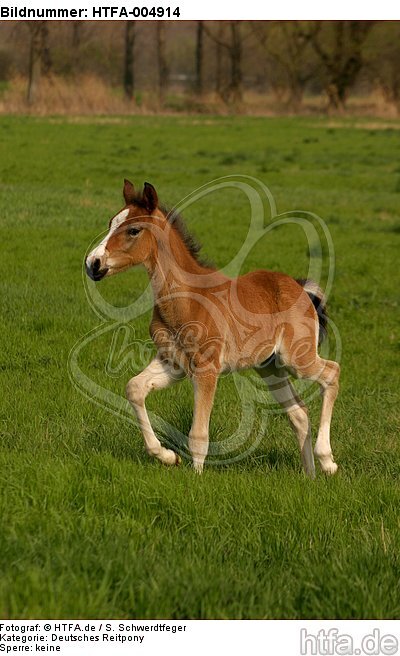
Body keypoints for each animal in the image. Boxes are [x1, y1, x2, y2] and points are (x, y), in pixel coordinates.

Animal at [85, 180, 340, 478]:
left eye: (133, 230)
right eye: (110, 223)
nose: (93, 263)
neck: (185, 299)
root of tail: (299, 287)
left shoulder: (207, 368)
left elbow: (198, 433)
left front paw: (196, 477)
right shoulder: (173, 363)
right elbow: (134, 388)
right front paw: (166, 456)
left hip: (296, 358)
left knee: (332, 373)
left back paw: (327, 461)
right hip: (270, 366)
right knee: (299, 413)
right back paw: (309, 476)